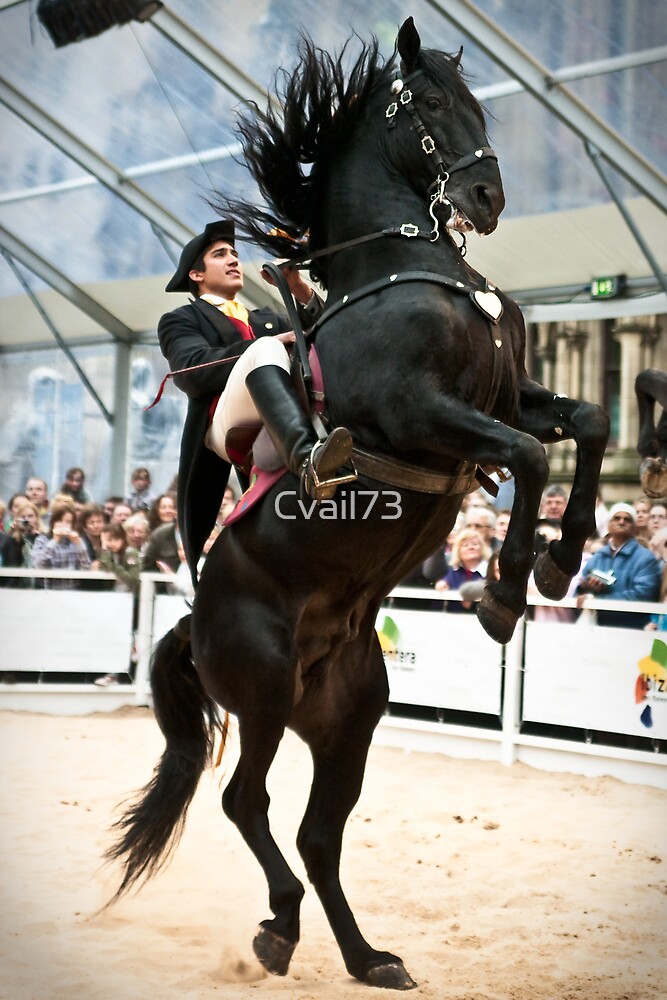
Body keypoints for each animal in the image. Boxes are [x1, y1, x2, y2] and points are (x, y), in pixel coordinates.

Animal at [106, 19, 609, 991]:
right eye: (428, 102)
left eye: (479, 104)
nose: (486, 197)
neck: (410, 264)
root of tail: (191, 621)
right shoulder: (418, 414)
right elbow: (530, 455)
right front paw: (503, 592)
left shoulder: (505, 398)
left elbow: (587, 423)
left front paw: (561, 559)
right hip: (262, 692)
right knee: (246, 802)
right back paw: (280, 926)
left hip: (347, 718)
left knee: (317, 835)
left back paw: (362, 955)